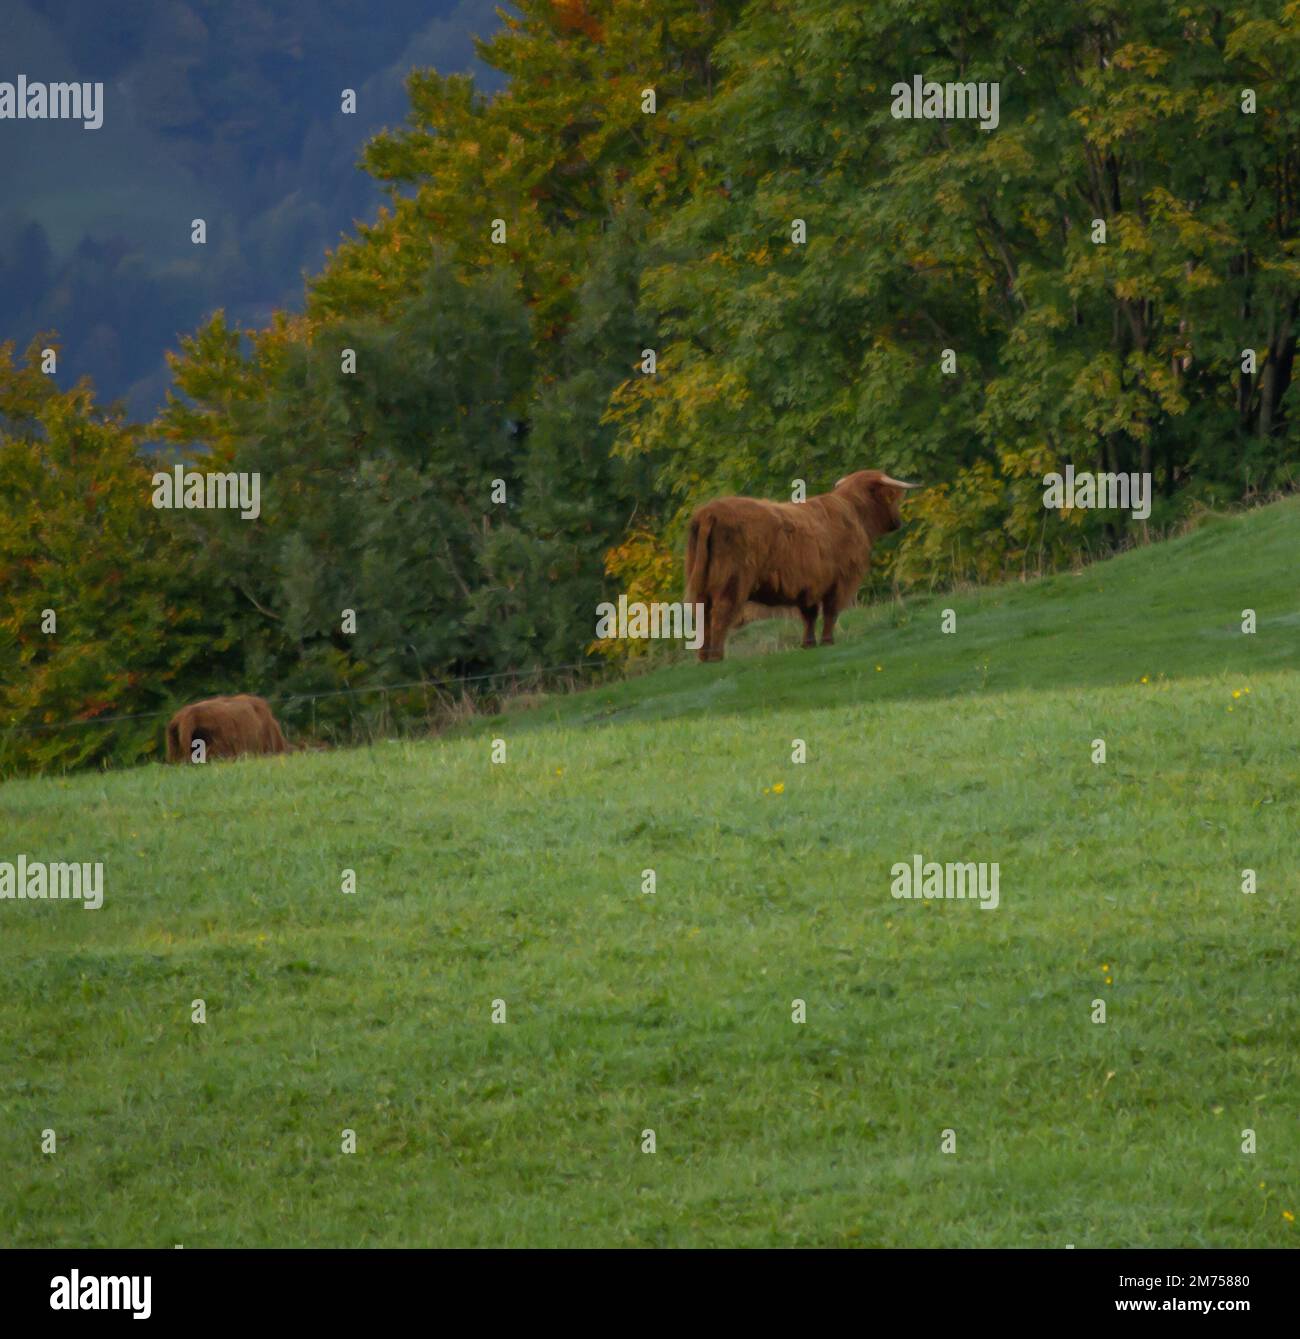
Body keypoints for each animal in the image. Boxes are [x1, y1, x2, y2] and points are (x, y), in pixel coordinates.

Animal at [684, 470, 919, 662]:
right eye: (893, 497)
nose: (898, 521)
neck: (855, 513)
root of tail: (708, 512)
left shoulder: (808, 585)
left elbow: (809, 615)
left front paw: (808, 644)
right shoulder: (841, 581)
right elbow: (831, 611)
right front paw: (827, 641)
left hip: (701, 583)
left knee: (702, 613)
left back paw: (703, 657)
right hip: (732, 582)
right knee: (720, 613)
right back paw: (716, 657)